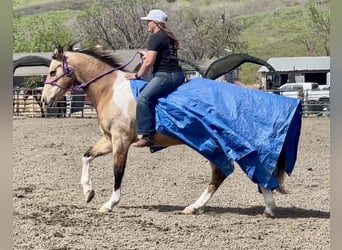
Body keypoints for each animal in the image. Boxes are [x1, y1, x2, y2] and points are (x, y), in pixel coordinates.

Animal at [41, 45, 300, 217]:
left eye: (53, 72)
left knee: (236, 172)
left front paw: (109, 203)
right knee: (232, 173)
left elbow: (118, 173)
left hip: (220, 146)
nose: (44, 100)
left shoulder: (121, 140)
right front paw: (88, 192)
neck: (111, 90)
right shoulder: (108, 140)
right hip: (215, 146)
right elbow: (86, 156)